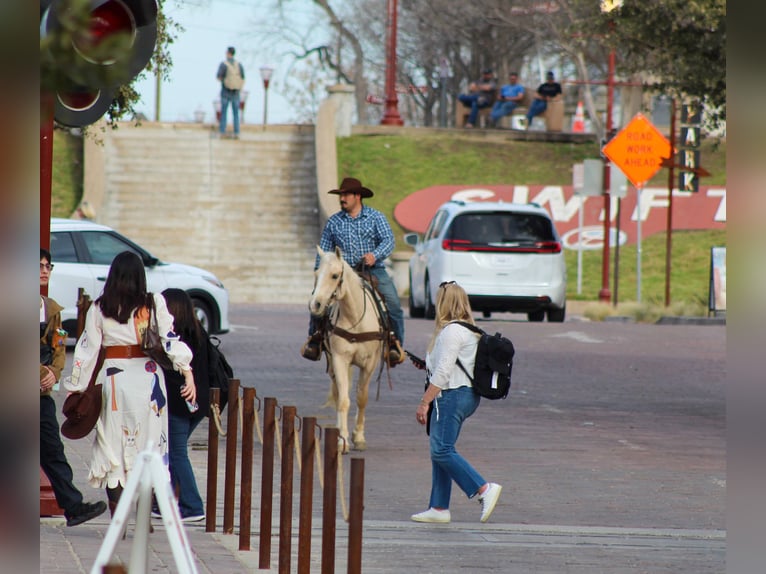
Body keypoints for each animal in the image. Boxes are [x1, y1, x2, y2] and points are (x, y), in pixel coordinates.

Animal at [308, 248, 390, 454]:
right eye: (316, 274)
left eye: (335, 275)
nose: (315, 304)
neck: (356, 318)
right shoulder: (339, 359)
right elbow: (344, 400)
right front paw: (342, 440)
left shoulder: (370, 363)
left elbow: (362, 398)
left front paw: (358, 437)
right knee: (338, 395)